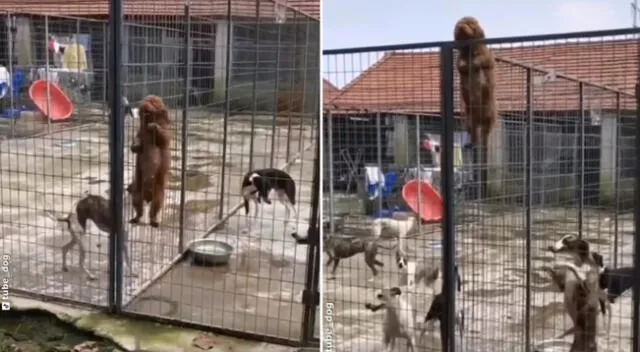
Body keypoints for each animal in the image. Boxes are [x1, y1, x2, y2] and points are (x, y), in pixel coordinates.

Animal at [128, 95, 170, 228]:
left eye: (154, 101)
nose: (144, 105)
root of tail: (147, 196)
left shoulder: (165, 129)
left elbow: (164, 139)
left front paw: (153, 126)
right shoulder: (140, 132)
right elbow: (136, 142)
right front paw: (136, 146)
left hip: (158, 192)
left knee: (155, 207)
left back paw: (154, 221)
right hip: (137, 191)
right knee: (138, 206)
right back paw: (135, 218)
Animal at [452, 16, 498, 148]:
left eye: (470, 24)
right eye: (459, 24)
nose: (461, 25)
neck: (469, 49)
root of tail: (480, 119)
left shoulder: (487, 56)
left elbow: (482, 60)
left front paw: (474, 62)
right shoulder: (459, 59)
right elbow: (460, 65)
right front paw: (465, 63)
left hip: (490, 117)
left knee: (485, 135)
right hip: (469, 120)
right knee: (474, 133)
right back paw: (471, 144)